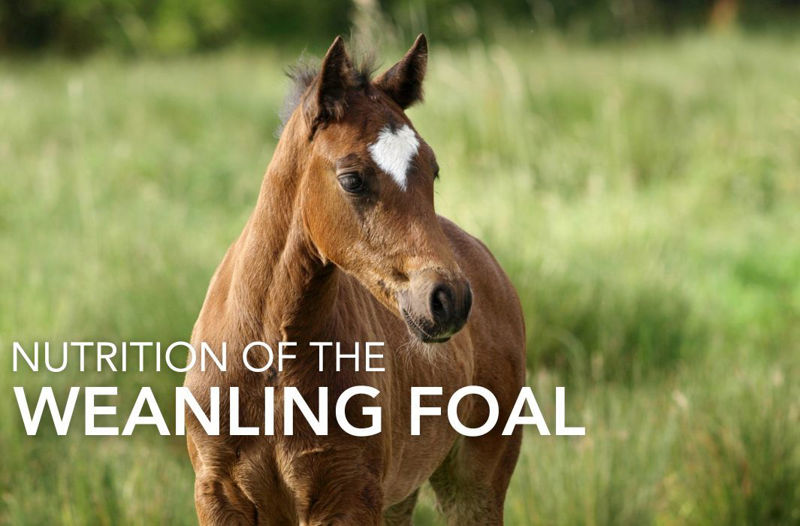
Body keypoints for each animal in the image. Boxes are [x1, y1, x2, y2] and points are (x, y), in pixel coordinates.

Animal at [184, 34, 526, 525]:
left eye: (433, 170)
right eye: (352, 179)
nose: (450, 299)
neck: (269, 362)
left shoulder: (346, 496)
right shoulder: (218, 496)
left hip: (473, 485)